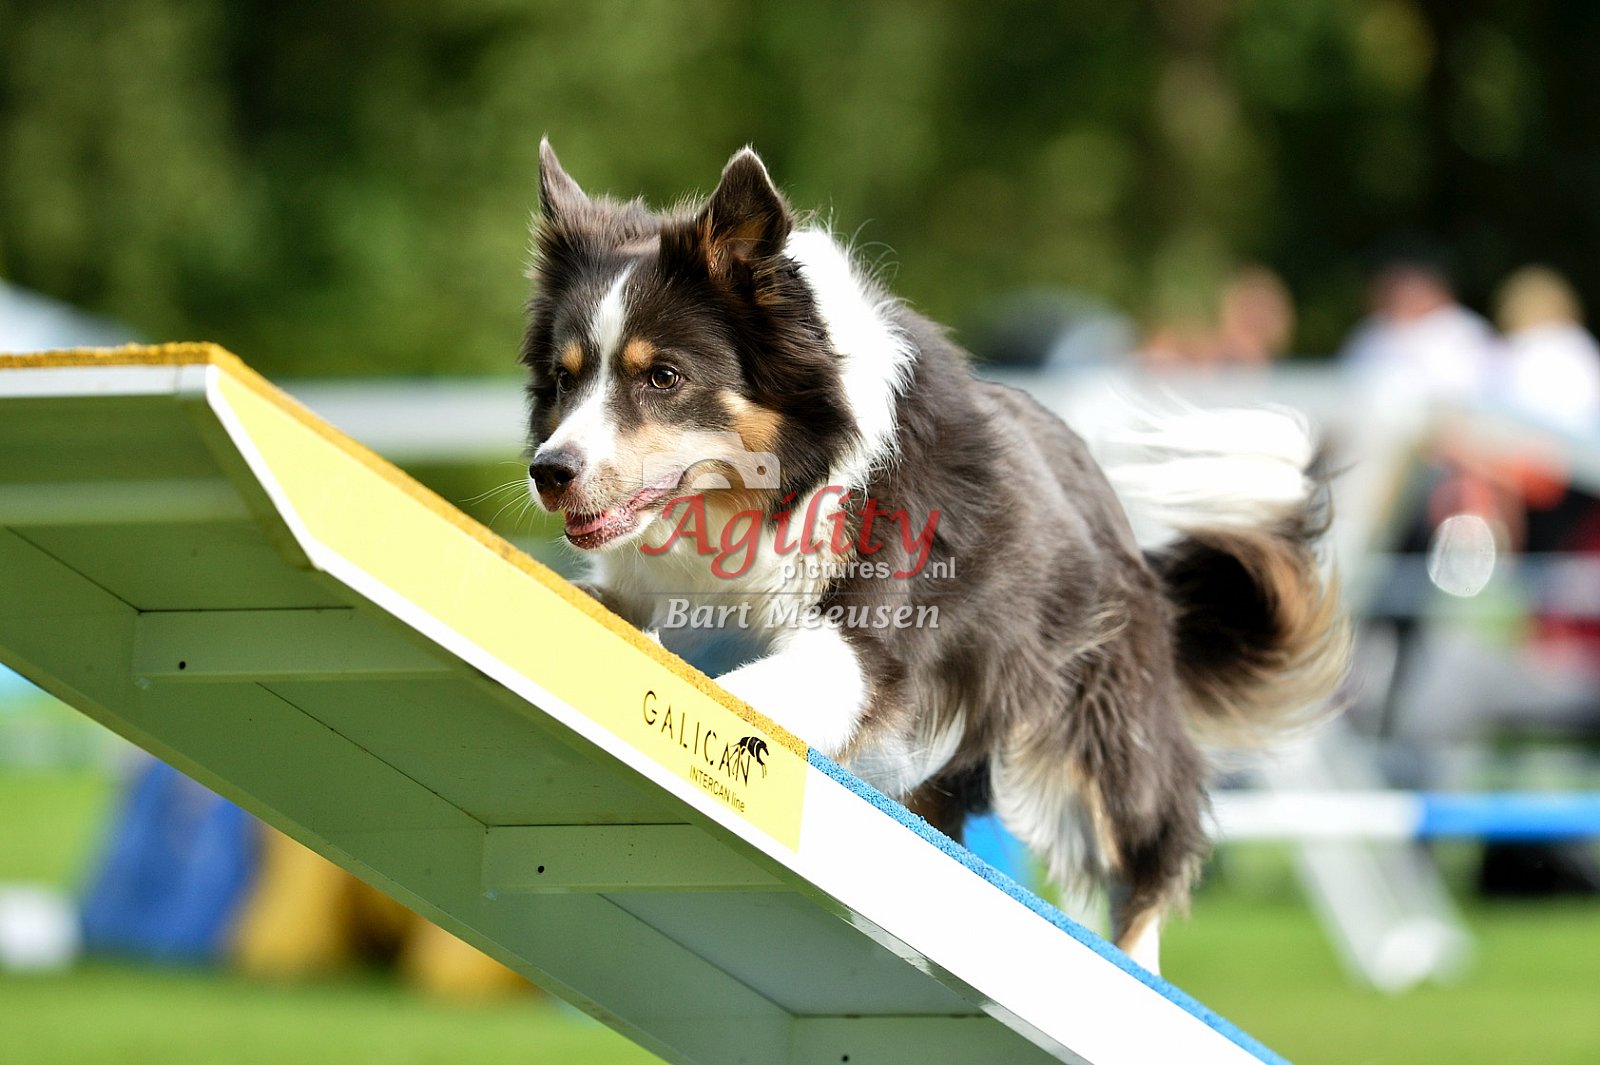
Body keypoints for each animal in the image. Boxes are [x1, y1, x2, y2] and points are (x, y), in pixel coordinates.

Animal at [520, 141, 1348, 973]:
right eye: (565, 376)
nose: (549, 472)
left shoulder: (870, 645)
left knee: (1148, 850)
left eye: (664, 376)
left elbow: (758, 688)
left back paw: (1138, 966)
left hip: (1106, 723)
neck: (755, 498)